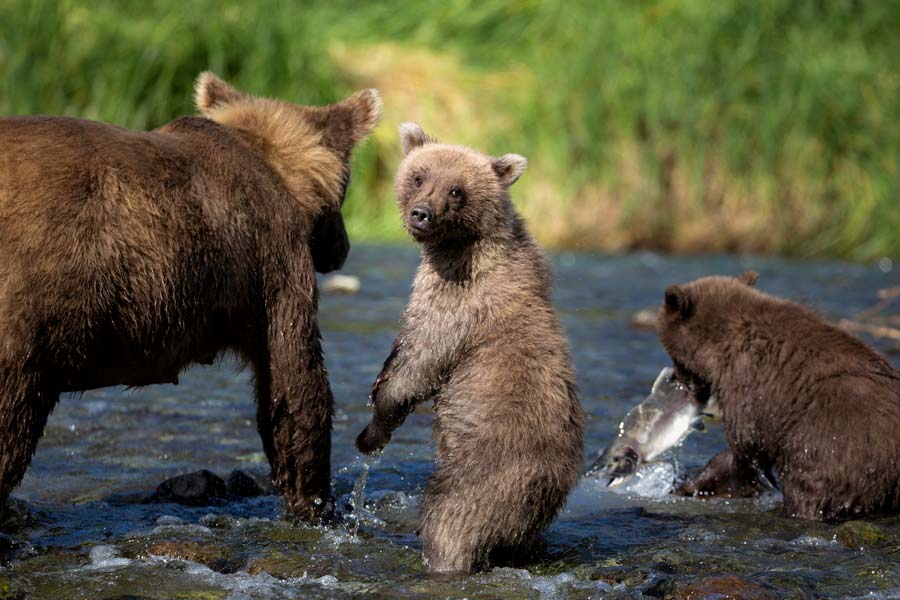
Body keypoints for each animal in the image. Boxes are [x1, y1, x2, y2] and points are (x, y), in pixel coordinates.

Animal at [0, 71, 382, 520]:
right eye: (346, 191)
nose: (344, 247)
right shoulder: (273, 263)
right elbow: (295, 381)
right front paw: (317, 505)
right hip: (26, 307)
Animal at [356, 122, 580, 572]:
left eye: (456, 189)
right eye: (419, 176)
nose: (421, 213)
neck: (461, 245)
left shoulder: (459, 300)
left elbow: (419, 361)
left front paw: (374, 425)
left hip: (489, 468)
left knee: (451, 515)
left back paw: (440, 556)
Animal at [656, 272, 900, 520]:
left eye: (675, 357)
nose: (675, 379)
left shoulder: (748, 384)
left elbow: (745, 446)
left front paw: (694, 484)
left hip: (835, 444)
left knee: (809, 490)